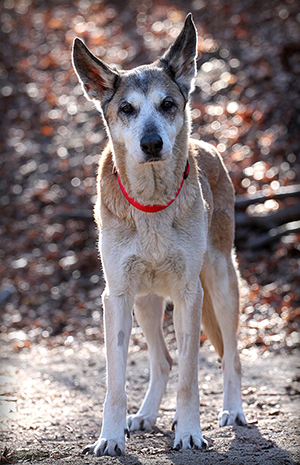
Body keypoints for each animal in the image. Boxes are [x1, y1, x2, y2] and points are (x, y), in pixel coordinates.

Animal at [72, 12, 246, 454]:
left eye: (168, 105)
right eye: (127, 109)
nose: (152, 143)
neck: (151, 205)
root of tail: (209, 147)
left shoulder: (189, 293)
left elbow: (190, 377)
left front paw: (189, 432)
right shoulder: (116, 296)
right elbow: (115, 381)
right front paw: (110, 436)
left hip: (221, 283)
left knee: (230, 355)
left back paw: (232, 411)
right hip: (145, 302)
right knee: (163, 361)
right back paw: (146, 416)